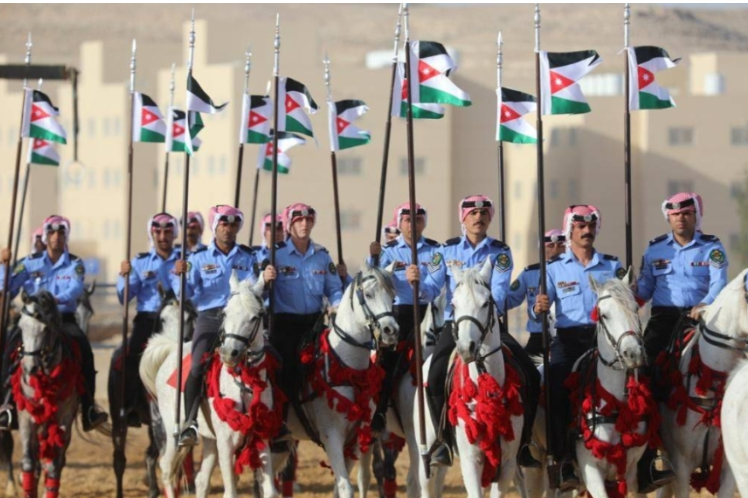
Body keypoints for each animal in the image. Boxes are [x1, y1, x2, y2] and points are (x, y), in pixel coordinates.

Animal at [12, 290, 83, 498]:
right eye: (21, 326)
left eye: (44, 328)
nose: (30, 368)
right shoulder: (26, 417)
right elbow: (28, 463)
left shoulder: (63, 420)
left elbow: (53, 467)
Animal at [109, 287, 198, 498]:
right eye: (162, 319)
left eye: (189, 318)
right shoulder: (160, 420)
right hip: (119, 420)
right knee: (120, 459)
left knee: (149, 455)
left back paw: (154, 489)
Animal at [141, 271, 282, 498]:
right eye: (225, 313)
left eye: (255, 316)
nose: (229, 353)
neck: (244, 384)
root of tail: (173, 350)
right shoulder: (226, 444)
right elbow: (230, 492)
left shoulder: (260, 440)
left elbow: (269, 490)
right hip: (172, 432)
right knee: (166, 468)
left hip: (210, 441)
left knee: (200, 480)